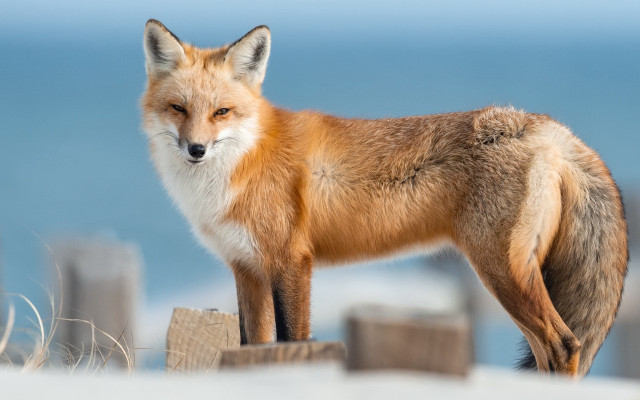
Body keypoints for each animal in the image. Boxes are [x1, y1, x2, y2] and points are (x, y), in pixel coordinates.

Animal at [141, 19, 628, 376]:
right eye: (178, 109)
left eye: (221, 112)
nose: (196, 149)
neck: (245, 160)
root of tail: (548, 127)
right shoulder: (247, 269)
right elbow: (250, 347)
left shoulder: (290, 262)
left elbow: (291, 341)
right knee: (553, 351)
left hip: (503, 272)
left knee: (564, 345)